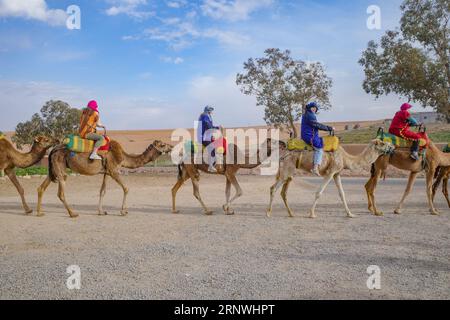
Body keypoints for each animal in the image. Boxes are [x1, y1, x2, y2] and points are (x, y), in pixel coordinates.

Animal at [37, 139, 173, 218]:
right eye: (163, 145)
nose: (171, 147)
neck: (123, 157)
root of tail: (53, 150)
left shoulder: (106, 173)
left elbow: (102, 191)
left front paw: (101, 211)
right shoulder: (114, 171)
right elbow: (126, 188)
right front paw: (123, 212)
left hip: (54, 169)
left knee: (41, 188)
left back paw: (39, 212)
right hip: (61, 168)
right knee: (60, 192)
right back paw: (72, 213)